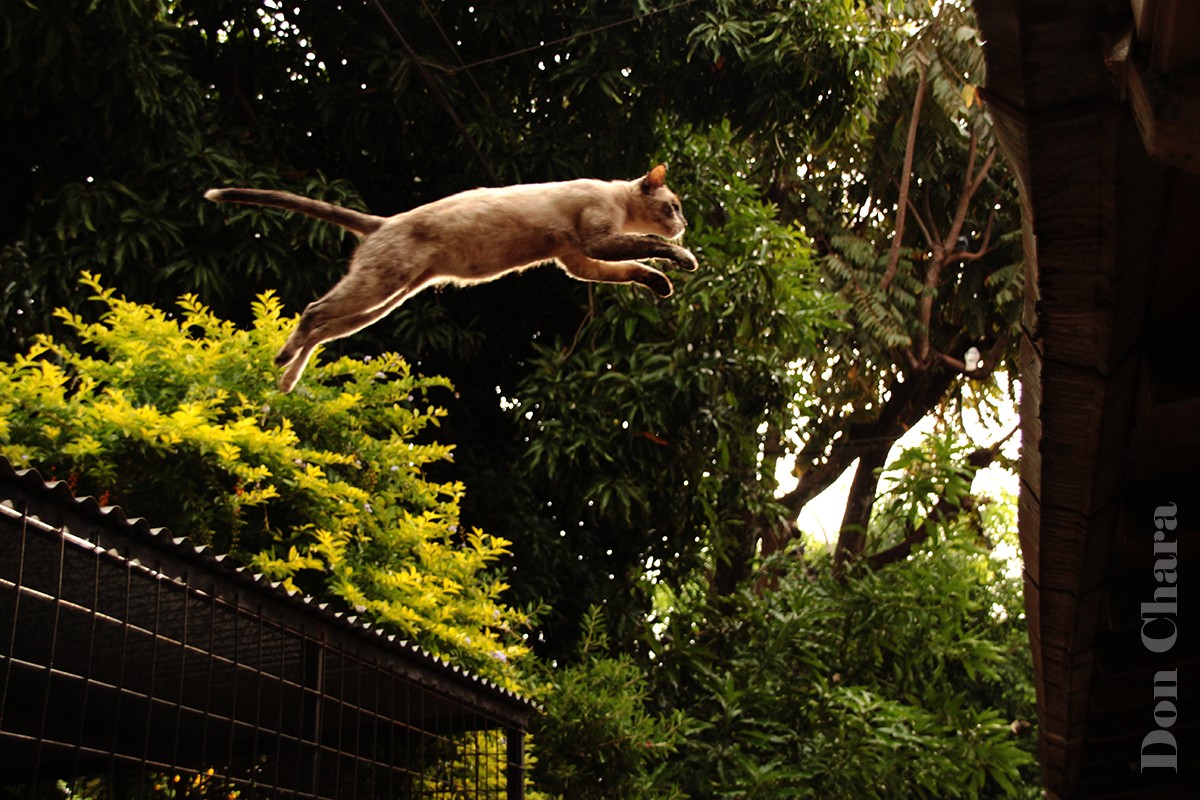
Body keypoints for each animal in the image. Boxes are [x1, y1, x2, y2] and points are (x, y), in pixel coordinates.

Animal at [205, 165, 696, 393]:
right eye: (673, 207)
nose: (685, 224)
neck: (620, 203)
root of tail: (383, 221)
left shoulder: (578, 261)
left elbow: (635, 268)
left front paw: (662, 283)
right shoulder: (597, 242)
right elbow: (647, 248)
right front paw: (684, 258)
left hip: (387, 299)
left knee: (322, 328)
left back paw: (286, 380)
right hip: (380, 287)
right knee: (312, 311)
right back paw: (282, 362)